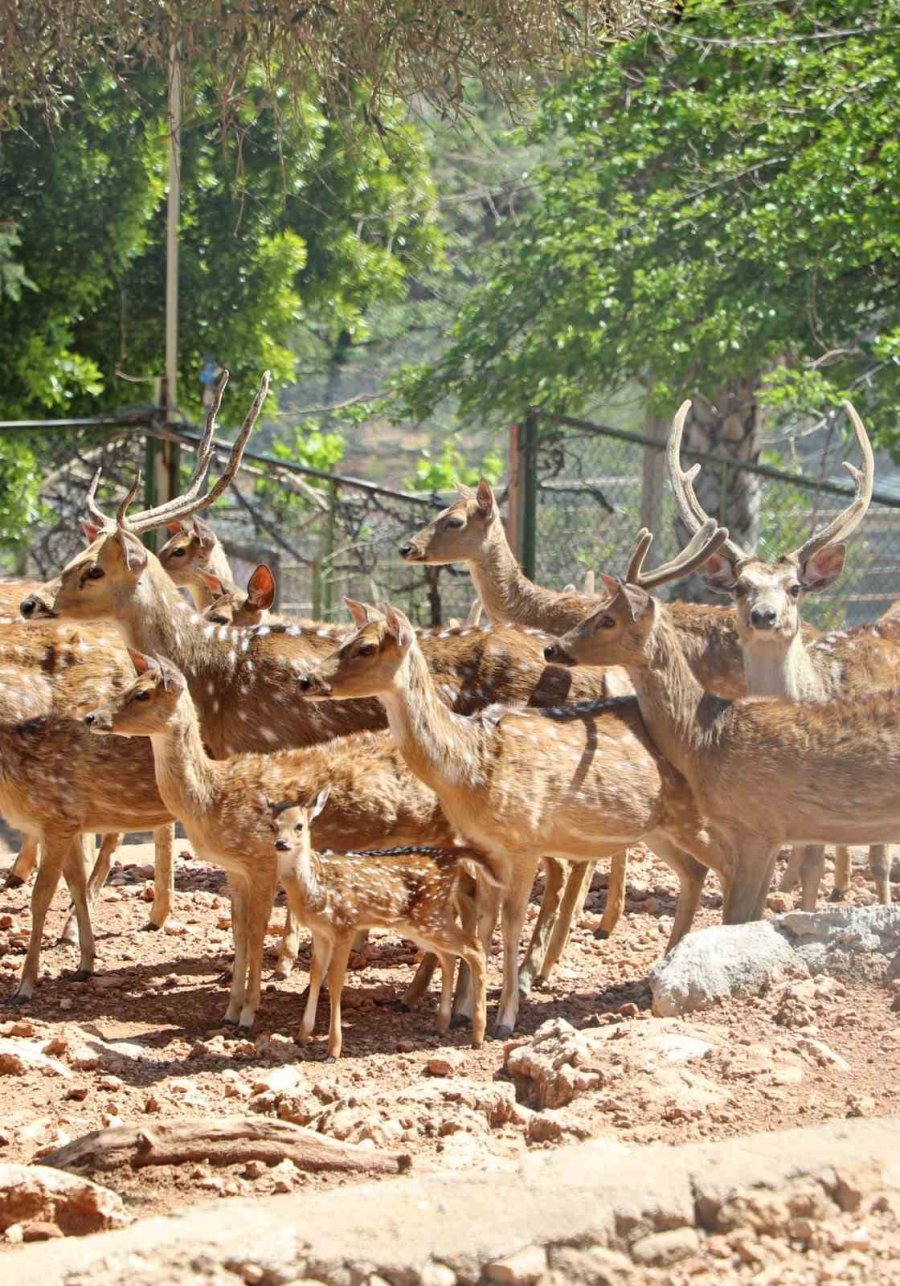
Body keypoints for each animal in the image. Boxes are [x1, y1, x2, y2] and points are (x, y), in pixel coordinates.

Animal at [295, 599, 725, 1033]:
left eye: (365, 647)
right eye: (343, 638)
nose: (305, 680)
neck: (470, 768)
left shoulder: (524, 842)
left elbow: (511, 922)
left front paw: (504, 1018)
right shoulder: (486, 850)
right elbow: (484, 922)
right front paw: (467, 1012)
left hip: (697, 816)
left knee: (726, 868)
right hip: (656, 828)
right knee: (694, 871)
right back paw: (664, 965)